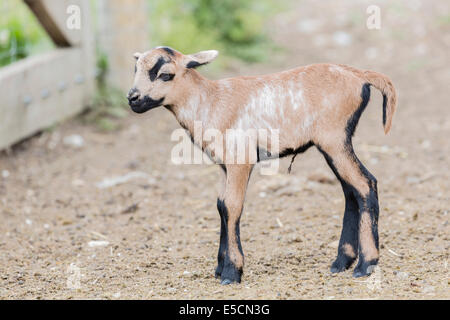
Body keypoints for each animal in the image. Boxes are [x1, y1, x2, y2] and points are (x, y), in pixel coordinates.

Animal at [126, 45, 398, 284]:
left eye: (165, 74)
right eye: (136, 69)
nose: (133, 99)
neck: (210, 101)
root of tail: (359, 75)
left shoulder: (241, 159)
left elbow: (231, 206)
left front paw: (231, 272)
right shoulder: (225, 166)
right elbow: (220, 205)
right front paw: (220, 267)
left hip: (334, 139)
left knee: (365, 184)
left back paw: (365, 265)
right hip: (334, 144)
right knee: (350, 191)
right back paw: (342, 261)